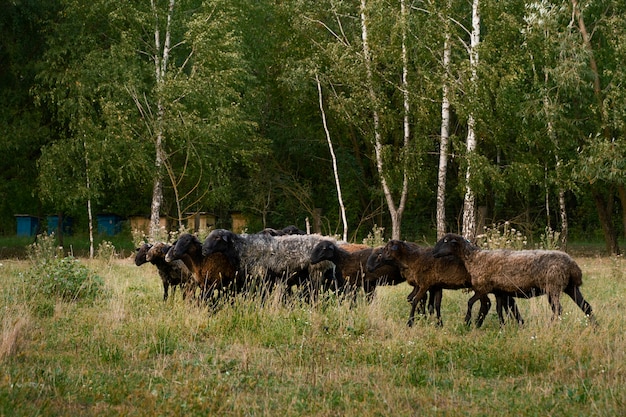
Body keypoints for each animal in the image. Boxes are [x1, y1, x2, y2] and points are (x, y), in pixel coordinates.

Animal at [364, 239, 494, 326]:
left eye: (386, 250)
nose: (368, 268)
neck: (412, 259)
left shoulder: (424, 284)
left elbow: (416, 300)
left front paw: (411, 322)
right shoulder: (435, 286)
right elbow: (434, 304)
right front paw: (438, 323)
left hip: (479, 286)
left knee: (486, 303)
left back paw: (475, 323)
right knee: (486, 303)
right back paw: (477, 323)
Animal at [432, 232, 592, 324]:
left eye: (445, 241)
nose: (433, 253)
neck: (474, 258)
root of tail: (572, 265)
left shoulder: (483, 288)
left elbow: (472, 302)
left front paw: (469, 321)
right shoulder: (499, 291)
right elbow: (502, 309)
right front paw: (505, 325)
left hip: (553, 287)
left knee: (558, 309)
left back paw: (550, 325)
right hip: (570, 287)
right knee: (586, 306)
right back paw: (594, 327)